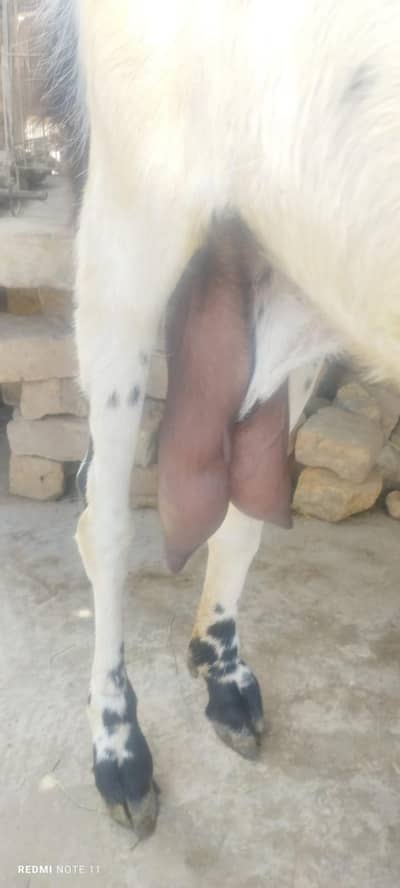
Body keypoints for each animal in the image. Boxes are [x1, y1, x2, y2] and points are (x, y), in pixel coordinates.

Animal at [41, 0, 400, 836]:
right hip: (130, 228)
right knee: (105, 520)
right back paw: (118, 748)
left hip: (294, 274)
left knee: (239, 495)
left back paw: (222, 666)